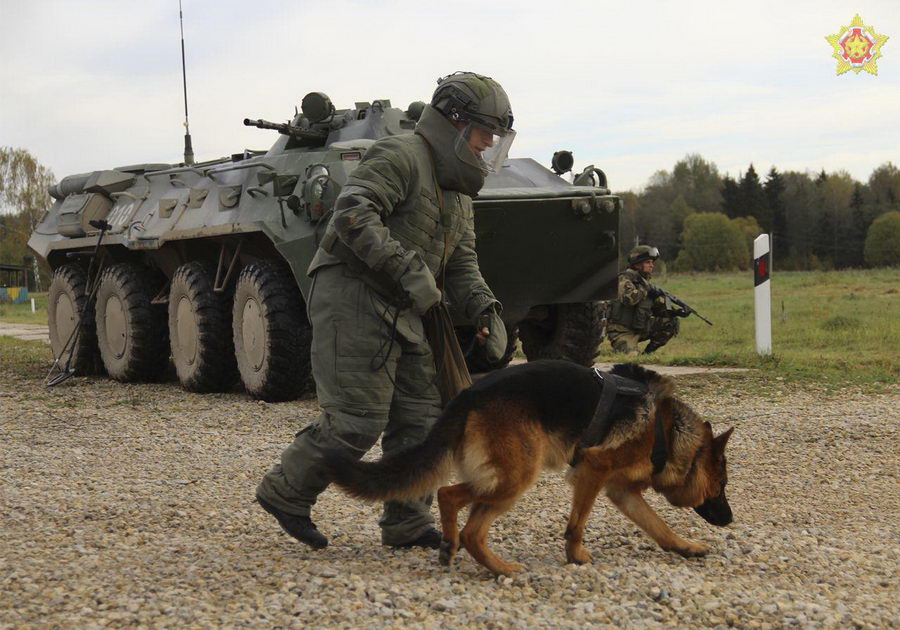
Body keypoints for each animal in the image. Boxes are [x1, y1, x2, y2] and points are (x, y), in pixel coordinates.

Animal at [324, 360, 732, 576]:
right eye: (721, 486)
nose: (730, 520)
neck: (666, 431)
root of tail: (468, 395)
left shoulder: (621, 492)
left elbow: (658, 526)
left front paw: (685, 547)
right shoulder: (592, 471)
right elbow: (577, 524)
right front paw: (575, 556)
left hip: (503, 480)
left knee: (471, 529)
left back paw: (486, 563)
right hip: (515, 479)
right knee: (448, 495)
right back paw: (476, 556)